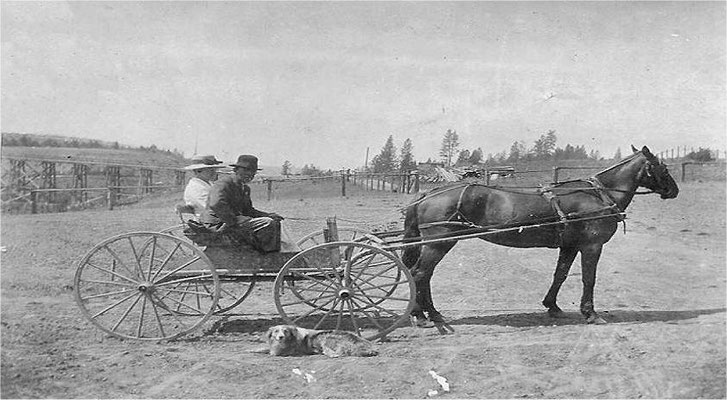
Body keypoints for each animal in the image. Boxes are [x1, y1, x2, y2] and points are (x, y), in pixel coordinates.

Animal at [404, 145, 684, 326]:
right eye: (662, 167)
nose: (674, 190)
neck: (598, 194)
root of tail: (428, 194)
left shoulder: (570, 245)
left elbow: (560, 274)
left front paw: (553, 306)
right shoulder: (591, 246)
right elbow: (589, 279)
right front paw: (591, 313)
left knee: (423, 275)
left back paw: (427, 314)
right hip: (440, 243)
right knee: (420, 274)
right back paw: (425, 315)